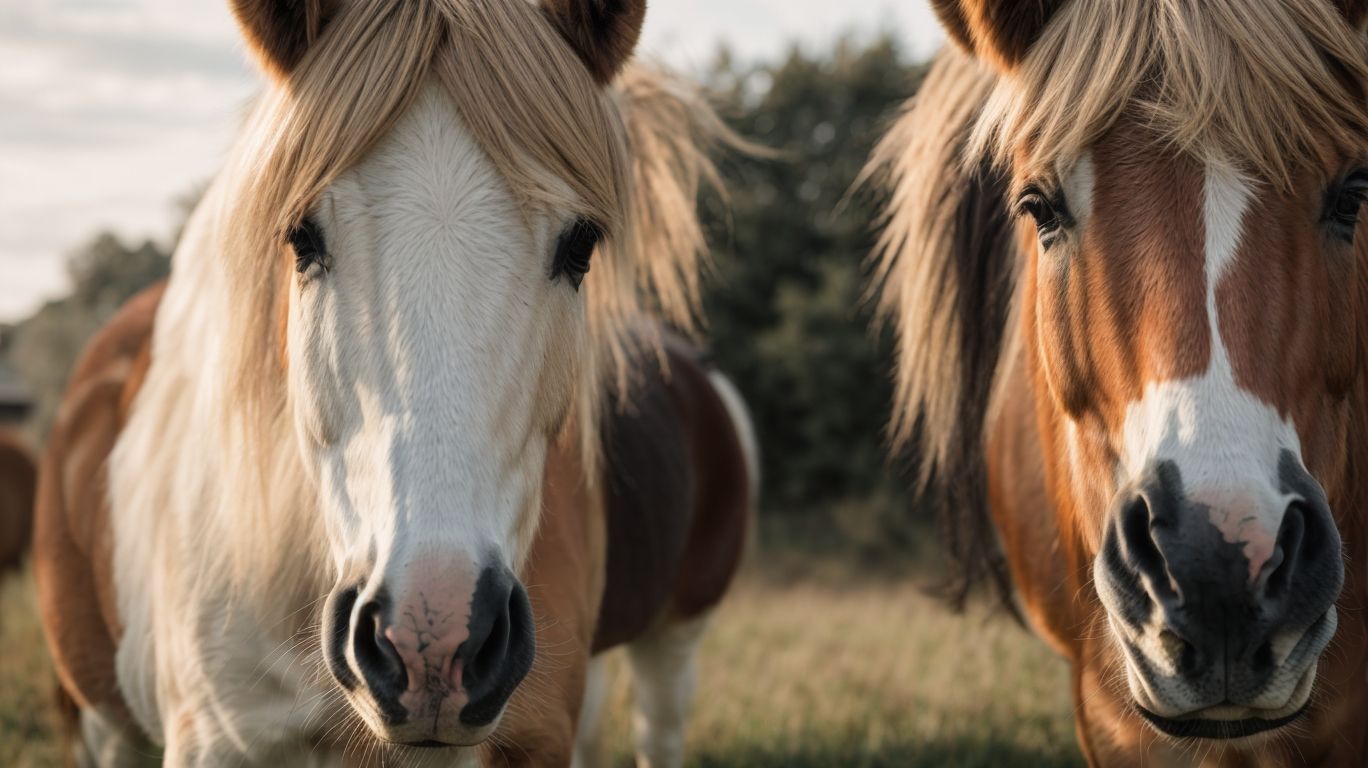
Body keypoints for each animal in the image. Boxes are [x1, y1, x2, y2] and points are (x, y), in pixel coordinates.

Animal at [32, 1, 755, 765]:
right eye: (302, 237)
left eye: (581, 244)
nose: (433, 637)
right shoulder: (214, 741)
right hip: (107, 724)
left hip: (675, 643)